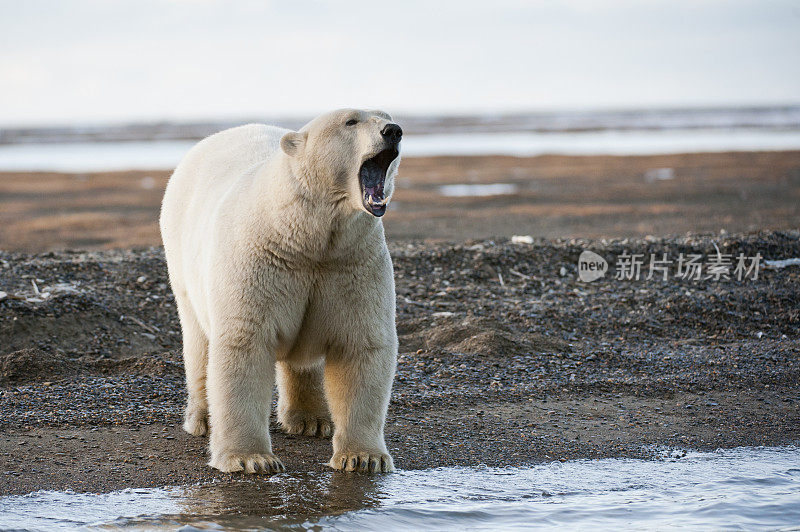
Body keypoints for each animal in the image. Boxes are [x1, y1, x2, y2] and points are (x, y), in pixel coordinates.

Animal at [159, 108, 404, 474]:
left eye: (386, 115)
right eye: (351, 121)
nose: (393, 130)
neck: (305, 236)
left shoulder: (351, 263)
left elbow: (362, 344)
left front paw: (363, 457)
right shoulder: (261, 260)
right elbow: (244, 342)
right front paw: (250, 459)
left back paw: (312, 420)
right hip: (182, 262)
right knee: (199, 341)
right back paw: (202, 418)